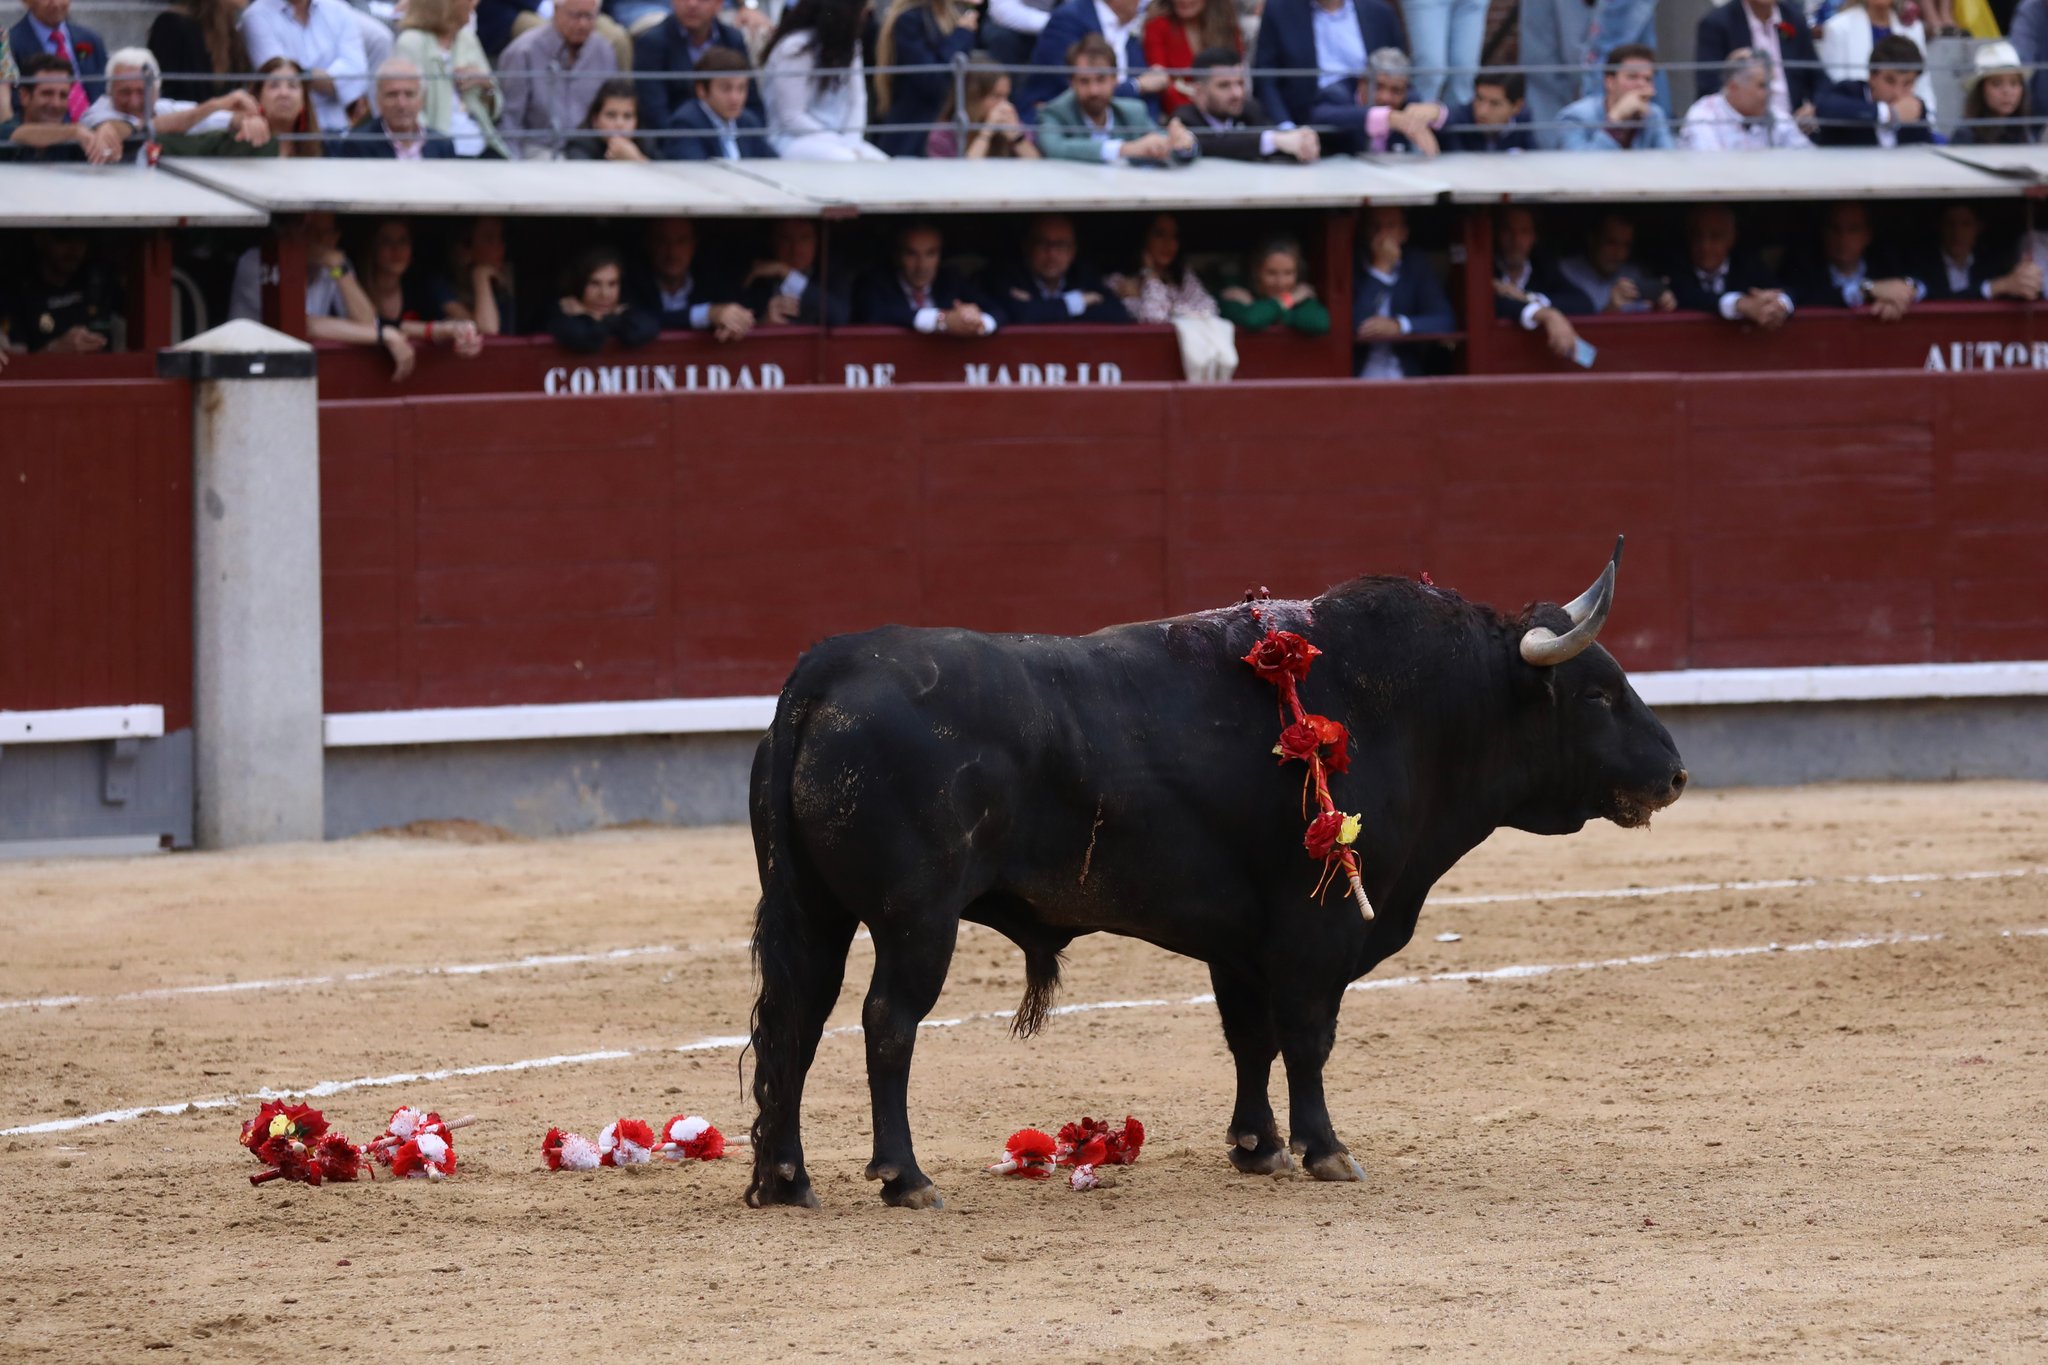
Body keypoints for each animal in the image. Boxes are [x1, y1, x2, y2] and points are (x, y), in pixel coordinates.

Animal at [743, 538, 1687, 1209]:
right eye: (1599, 693)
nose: (1676, 773)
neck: (1415, 706)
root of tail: (829, 666)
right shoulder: (1315, 932)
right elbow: (1307, 1036)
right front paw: (1325, 1149)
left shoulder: (1242, 944)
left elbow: (1250, 1038)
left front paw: (1256, 1147)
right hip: (916, 918)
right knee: (886, 1022)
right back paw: (905, 1176)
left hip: (813, 910)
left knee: (796, 1020)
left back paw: (784, 1180)